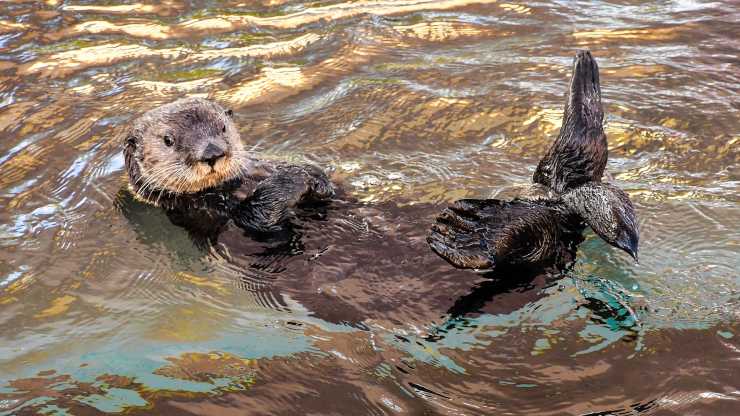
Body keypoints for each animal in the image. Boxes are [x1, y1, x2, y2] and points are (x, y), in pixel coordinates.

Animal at [123, 95, 334, 236]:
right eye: (168, 140)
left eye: (223, 127)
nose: (212, 153)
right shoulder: (204, 212)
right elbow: (258, 215)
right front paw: (293, 179)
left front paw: (312, 175)